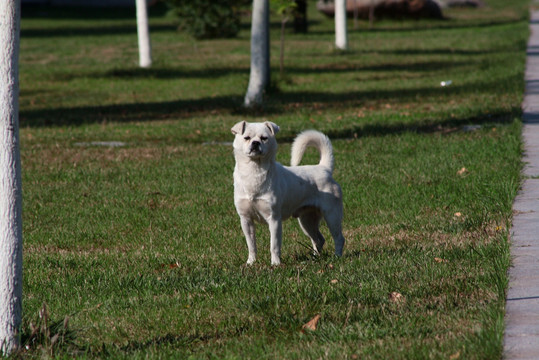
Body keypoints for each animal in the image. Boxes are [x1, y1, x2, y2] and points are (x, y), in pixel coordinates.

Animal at [232, 121, 346, 264]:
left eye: (264, 138)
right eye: (246, 138)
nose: (256, 143)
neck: (253, 172)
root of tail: (324, 168)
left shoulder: (274, 219)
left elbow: (274, 245)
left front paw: (275, 264)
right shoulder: (246, 220)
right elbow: (251, 245)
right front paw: (251, 262)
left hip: (332, 216)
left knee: (338, 238)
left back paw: (337, 257)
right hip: (307, 221)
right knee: (319, 239)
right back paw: (314, 258)